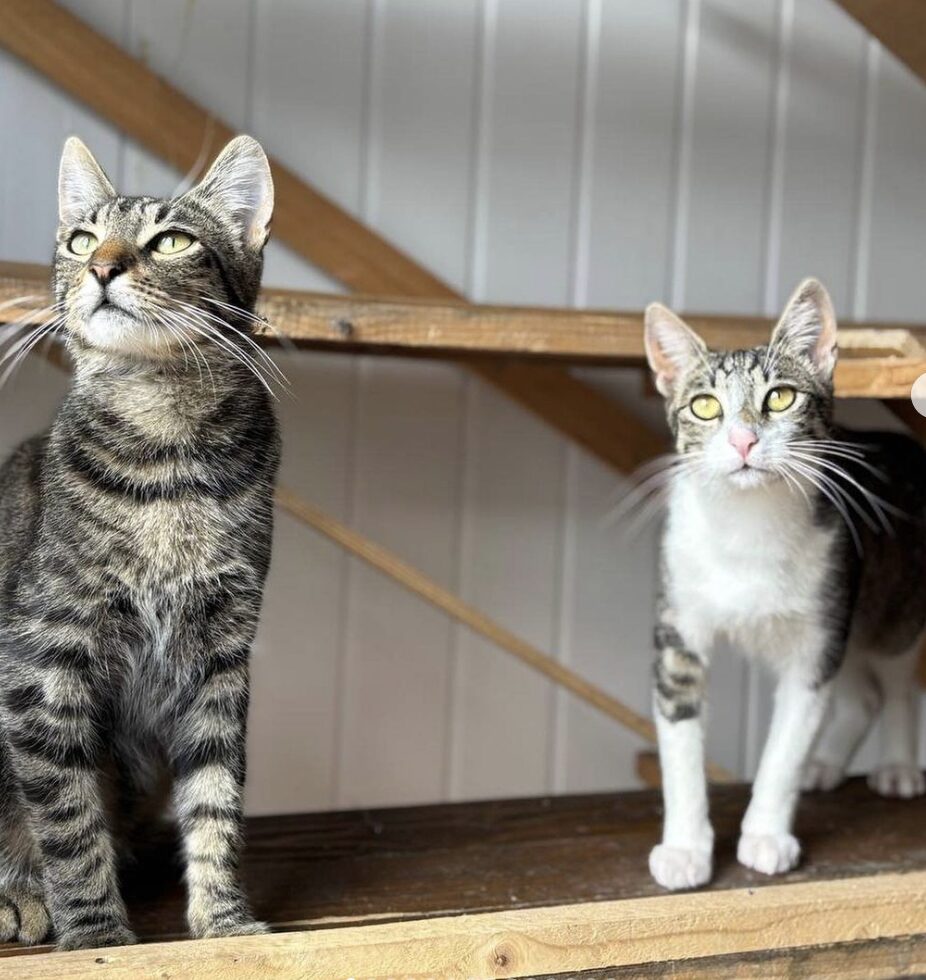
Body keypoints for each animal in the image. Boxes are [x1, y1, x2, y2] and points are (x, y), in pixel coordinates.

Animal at [0, 134, 280, 944]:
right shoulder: (44, 658)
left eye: (172, 241)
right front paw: (96, 934)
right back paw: (19, 898)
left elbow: (216, 797)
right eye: (81, 239)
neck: (167, 457)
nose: (102, 267)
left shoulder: (221, 655)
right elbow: (67, 816)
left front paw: (223, 919)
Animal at [644, 280, 926, 892]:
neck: (748, 528)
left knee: (895, 681)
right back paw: (828, 767)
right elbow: (680, 736)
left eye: (780, 398)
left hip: (885, 603)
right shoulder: (679, 620)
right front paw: (684, 849)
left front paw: (767, 836)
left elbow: (787, 744)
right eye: (705, 406)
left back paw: (896, 766)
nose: (744, 441)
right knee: (862, 694)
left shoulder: (816, 634)